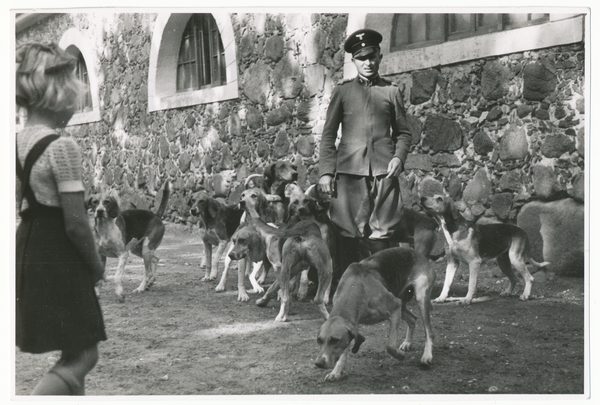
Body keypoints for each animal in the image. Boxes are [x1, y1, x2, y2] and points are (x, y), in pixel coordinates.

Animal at [240, 187, 332, 322]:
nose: (242, 202)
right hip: (326, 269)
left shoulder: (286, 269)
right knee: (316, 299)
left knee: (288, 297)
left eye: (253, 195)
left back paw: (282, 316)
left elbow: (274, 288)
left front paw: (263, 301)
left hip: (289, 270)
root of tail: (303, 230)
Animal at [314, 245, 436, 380]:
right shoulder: (353, 324)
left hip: (420, 298)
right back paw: (407, 342)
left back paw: (427, 356)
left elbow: (390, 346)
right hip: (402, 306)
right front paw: (336, 372)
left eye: (334, 340)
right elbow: (343, 352)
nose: (318, 363)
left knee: (429, 332)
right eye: (319, 340)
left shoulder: (395, 308)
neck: (356, 287)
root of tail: (418, 254)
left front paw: (400, 355)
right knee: (413, 319)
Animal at [420, 193, 552, 304]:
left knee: (529, 278)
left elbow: (471, 284)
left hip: (515, 259)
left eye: (439, 199)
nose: (422, 198)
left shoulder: (474, 262)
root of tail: (522, 231)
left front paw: (467, 299)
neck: (454, 229)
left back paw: (525, 295)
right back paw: (507, 292)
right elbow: (446, 284)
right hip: (503, 262)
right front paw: (441, 298)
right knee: (514, 278)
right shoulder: (452, 263)